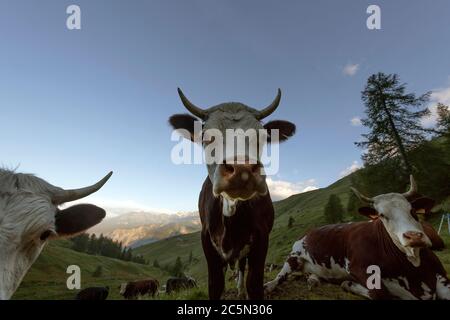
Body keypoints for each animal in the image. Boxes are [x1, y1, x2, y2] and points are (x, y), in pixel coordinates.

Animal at [169, 88, 296, 300]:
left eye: (262, 137)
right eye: (206, 137)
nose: (241, 169)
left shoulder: (261, 239)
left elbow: (254, 284)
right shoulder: (207, 242)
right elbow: (215, 285)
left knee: (242, 267)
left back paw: (240, 290)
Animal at [264, 175, 450, 300]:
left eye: (412, 210)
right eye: (382, 215)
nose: (414, 236)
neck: (413, 268)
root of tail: (309, 230)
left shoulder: (442, 278)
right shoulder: (359, 268)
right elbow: (380, 293)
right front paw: (350, 284)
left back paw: (314, 280)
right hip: (293, 256)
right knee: (280, 276)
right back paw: (269, 286)